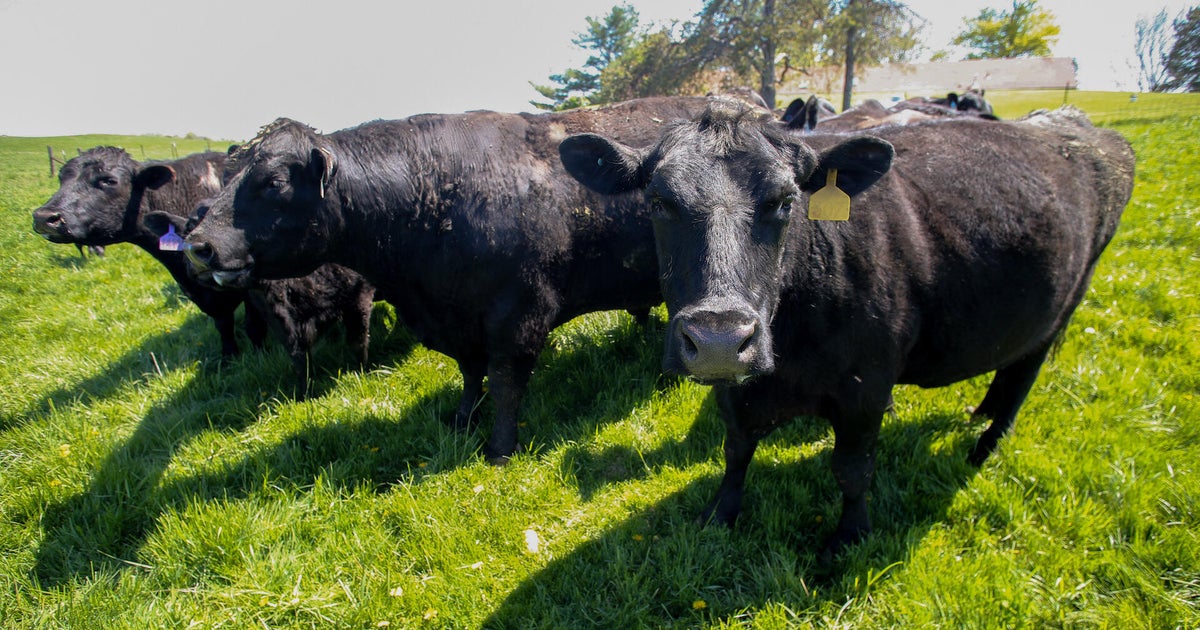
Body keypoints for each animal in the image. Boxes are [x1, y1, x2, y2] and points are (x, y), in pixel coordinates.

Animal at [180, 96, 733, 462]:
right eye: (228, 173)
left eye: (272, 182)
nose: (198, 245)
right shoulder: (456, 322)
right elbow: (470, 372)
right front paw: (462, 417)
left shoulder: (520, 315)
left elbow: (507, 383)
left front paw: (499, 447)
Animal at [558, 101, 1135, 560]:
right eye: (659, 202)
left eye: (786, 201)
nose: (720, 338)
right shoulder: (734, 389)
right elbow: (736, 449)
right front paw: (720, 514)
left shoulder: (866, 388)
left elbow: (852, 470)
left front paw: (849, 538)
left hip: (1067, 302)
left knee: (1023, 375)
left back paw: (986, 445)